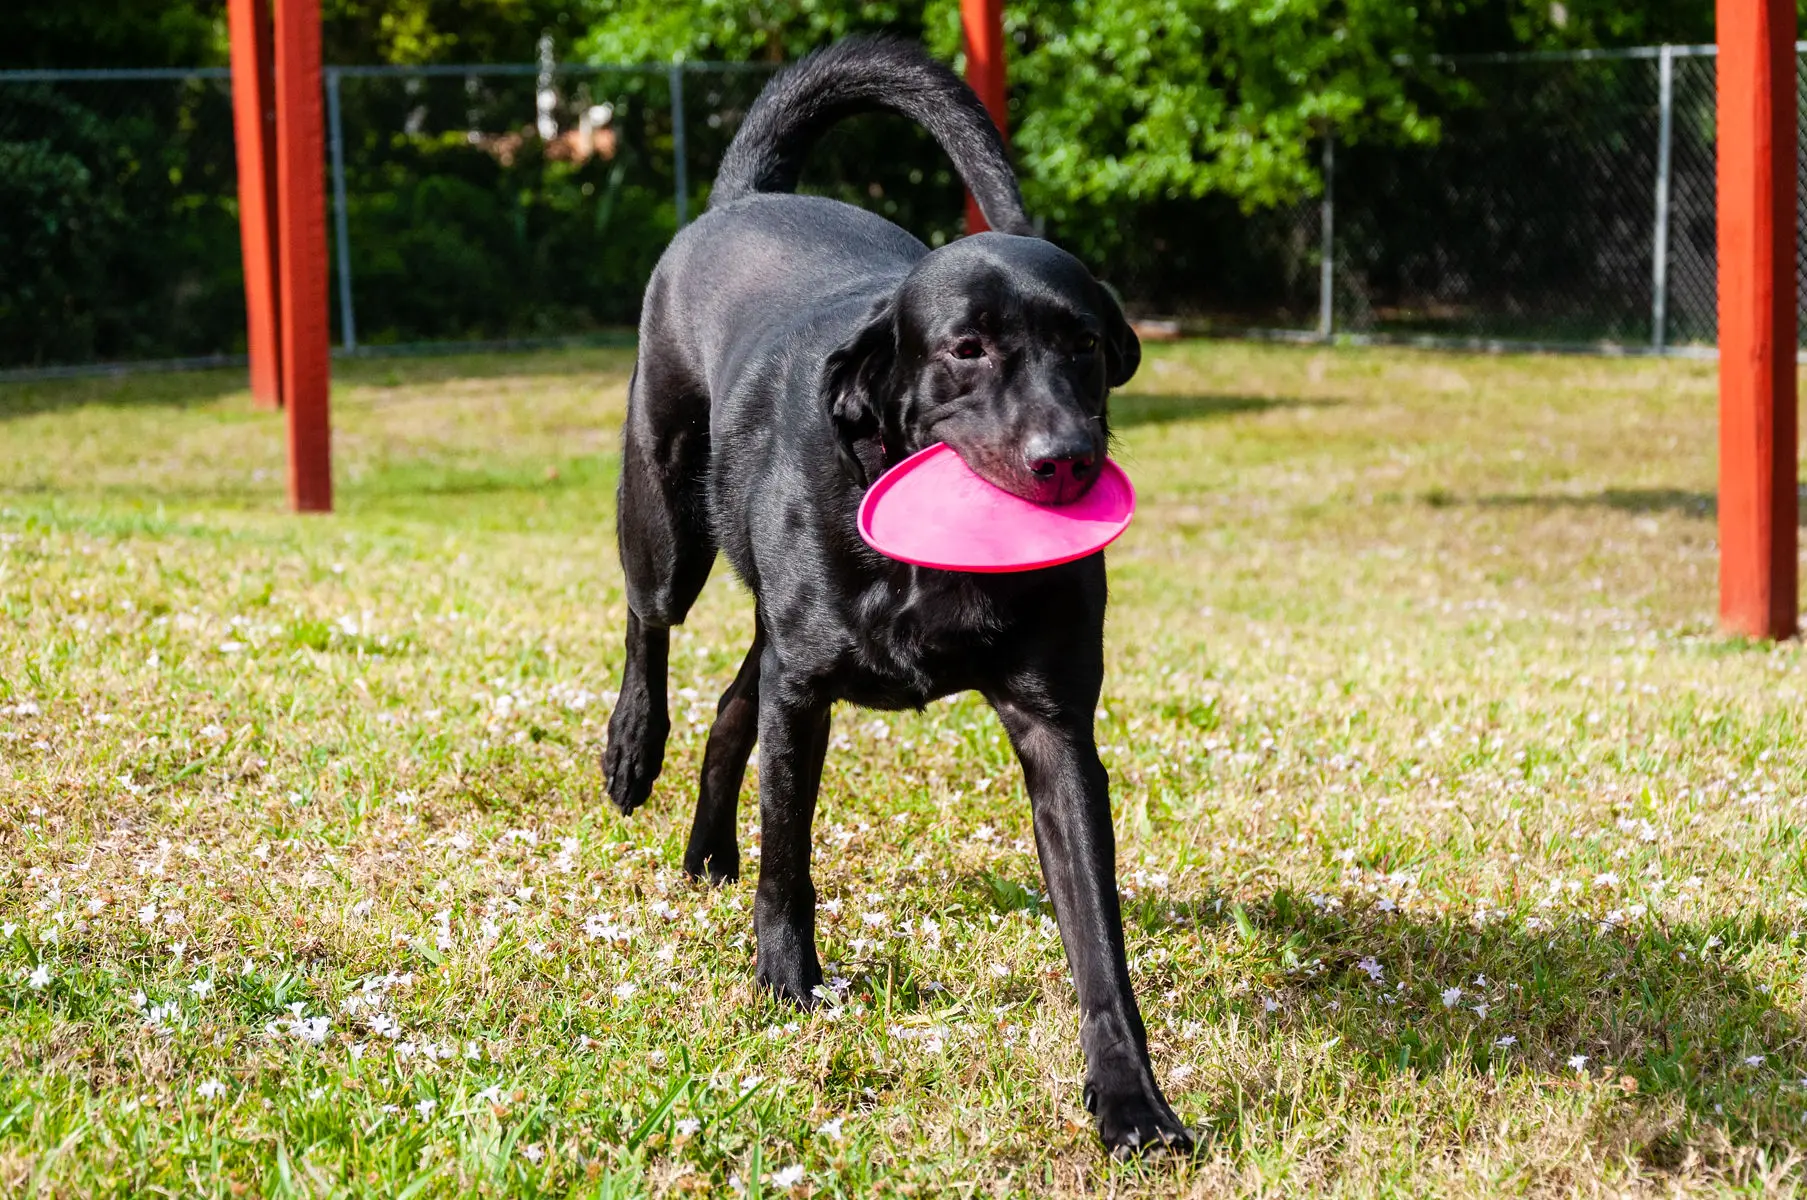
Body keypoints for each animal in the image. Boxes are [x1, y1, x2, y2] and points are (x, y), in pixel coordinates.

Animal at [607, 42, 1192, 1156]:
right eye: (966, 348)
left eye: (1086, 347)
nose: (1067, 459)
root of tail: (748, 197)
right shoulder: (805, 694)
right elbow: (789, 857)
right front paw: (786, 981)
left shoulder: (1057, 729)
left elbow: (1097, 937)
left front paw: (1131, 1100)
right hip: (664, 514)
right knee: (649, 622)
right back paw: (630, 749)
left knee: (730, 704)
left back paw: (707, 851)